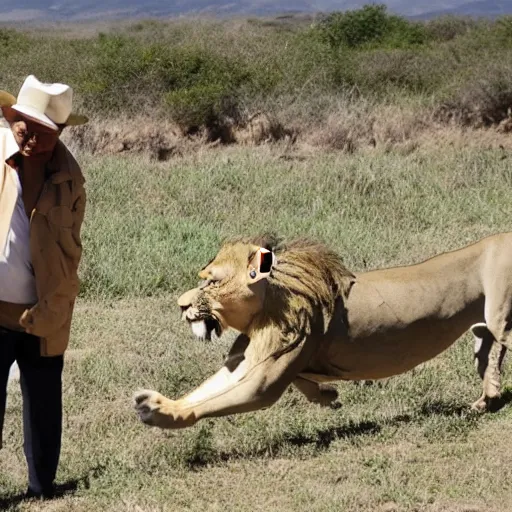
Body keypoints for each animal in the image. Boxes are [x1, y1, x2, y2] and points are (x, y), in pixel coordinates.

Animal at [133, 234, 512, 430]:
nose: (180, 305)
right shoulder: (247, 356)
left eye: (211, 282)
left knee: (499, 348)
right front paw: (162, 405)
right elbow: (211, 388)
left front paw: (159, 415)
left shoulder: (269, 372)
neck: (270, 302)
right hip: (482, 330)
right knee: (486, 357)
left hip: (500, 310)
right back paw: (484, 401)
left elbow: (236, 395)